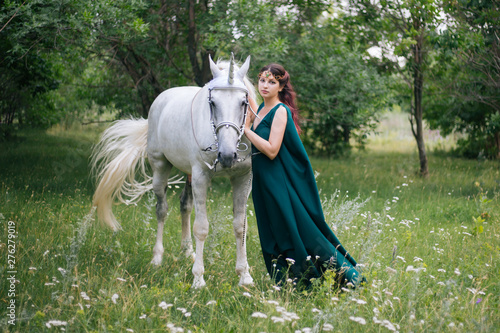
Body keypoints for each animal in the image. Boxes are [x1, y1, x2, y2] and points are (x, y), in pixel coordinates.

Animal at [90, 54, 256, 288]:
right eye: (213, 102)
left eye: (243, 102)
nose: (226, 155)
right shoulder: (201, 177)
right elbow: (201, 228)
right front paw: (198, 278)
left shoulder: (243, 178)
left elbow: (240, 226)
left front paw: (244, 275)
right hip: (160, 168)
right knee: (162, 210)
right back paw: (157, 258)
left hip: (189, 175)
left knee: (184, 205)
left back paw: (187, 251)